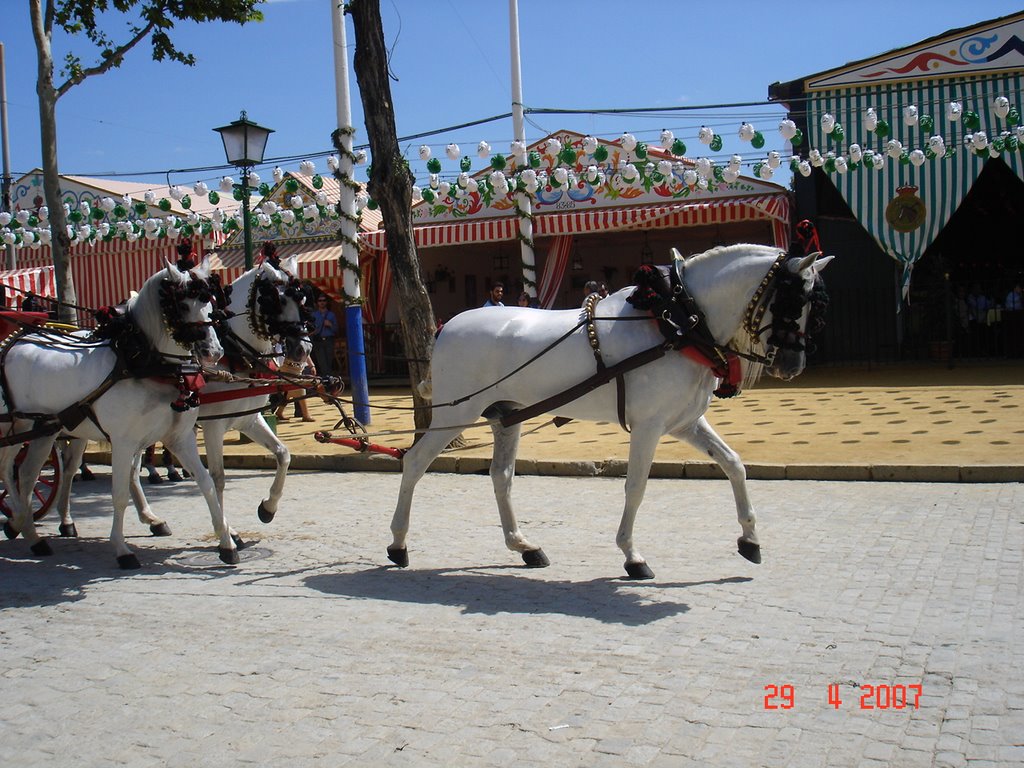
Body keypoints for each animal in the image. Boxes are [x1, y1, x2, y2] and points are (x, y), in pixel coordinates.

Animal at [0, 262, 228, 569]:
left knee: (27, 475)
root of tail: (17, 340)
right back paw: (19, 521)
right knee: (8, 469)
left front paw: (226, 542)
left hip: (46, 429)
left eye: (211, 302)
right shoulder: (123, 442)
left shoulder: (179, 438)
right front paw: (122, 549)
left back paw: (31, 534)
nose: (213, 351)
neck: (143, 362)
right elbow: (119, 495)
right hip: (18, 426)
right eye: (182, 304)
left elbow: (205, 482)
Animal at [387, 246, 827, 577]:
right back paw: (398, 543)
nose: (792, 365)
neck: (675, 321)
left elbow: (734, 464)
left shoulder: (685, 422)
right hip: (455, 414)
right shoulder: (649, 426)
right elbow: (636, 486)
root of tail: (447, 326)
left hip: (505, 416)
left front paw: (750, 539)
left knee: (501, 477)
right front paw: (632, 555)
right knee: (415, 463)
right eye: (793, 300)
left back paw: (524, 545)